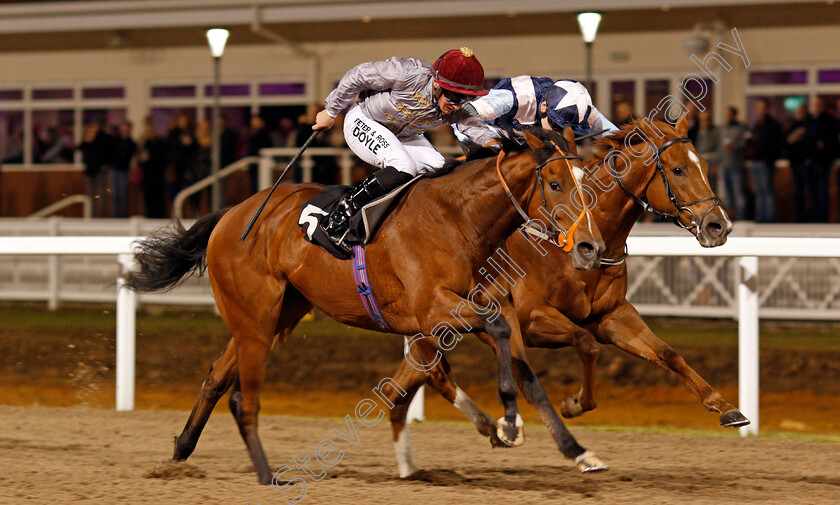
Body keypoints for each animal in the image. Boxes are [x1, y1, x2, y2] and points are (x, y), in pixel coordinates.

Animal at [128, 126, 608, 484]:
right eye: (554, 183)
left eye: (585, 183)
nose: (590, 247)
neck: (458, 219)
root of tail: (230, 214)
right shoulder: (435, 309)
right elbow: (496, 331)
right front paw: (508, 420)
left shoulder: (480, 305)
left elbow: (524, 369)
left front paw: (576, 449)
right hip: (256, 319)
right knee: (243, 395)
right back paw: (266, 475)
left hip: (275, 316)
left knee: (216, 377)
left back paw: (179, 453)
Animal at [384, 114, 744, 476]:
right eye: (678, 169)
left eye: (706, 166)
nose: (719, 226)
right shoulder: (532, 319)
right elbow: (586, 344)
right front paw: (573, 404)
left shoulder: (612, 315)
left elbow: (667, 353)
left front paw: (724, 406)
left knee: (405, 384)